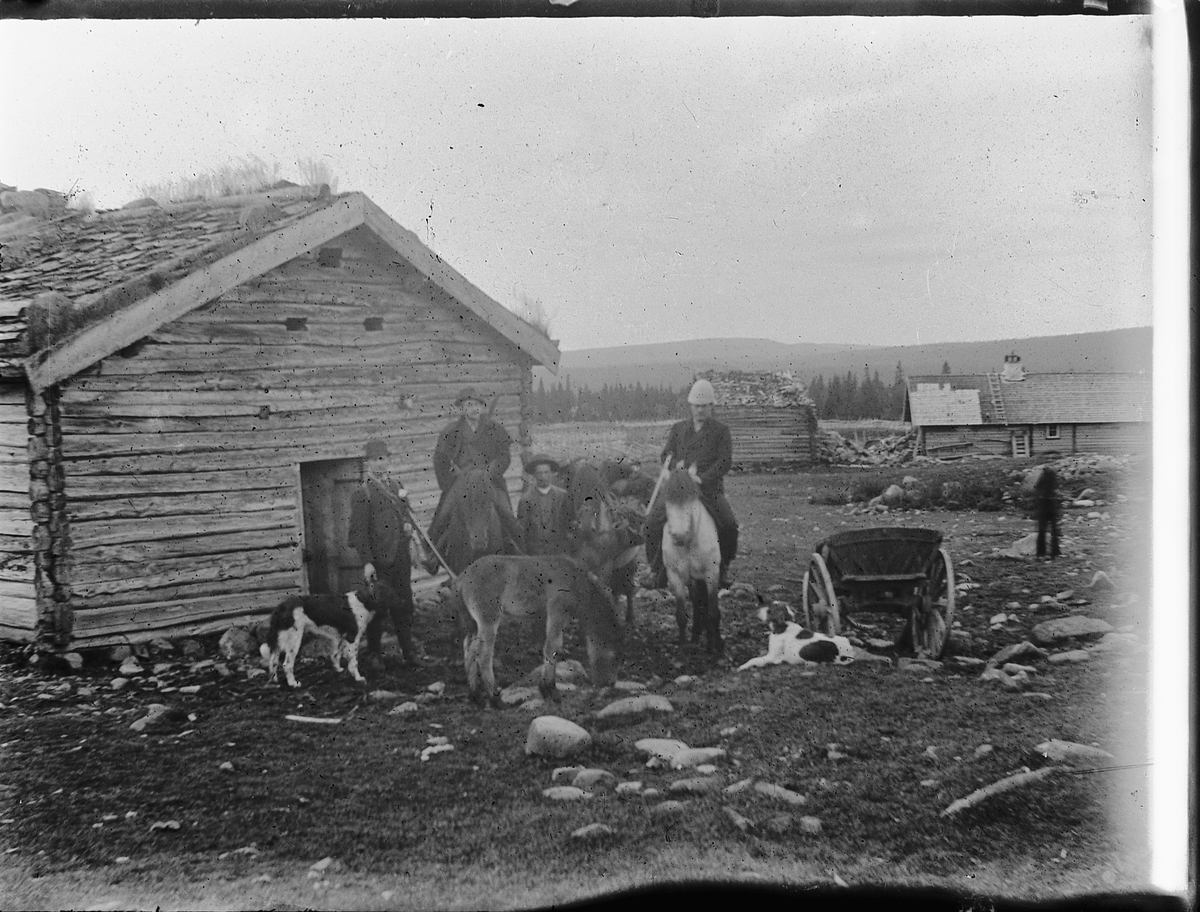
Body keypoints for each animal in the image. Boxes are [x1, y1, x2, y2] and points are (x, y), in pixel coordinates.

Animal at [446, 552, 624, 710]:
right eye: (615, 656)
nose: (610, 683)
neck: (576, 581)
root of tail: (462, 578)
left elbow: (554, 646)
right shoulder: (557, 611)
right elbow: (552, 647)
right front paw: (549, 690)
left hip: (472, 624)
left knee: (469, 652)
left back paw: (476, 697)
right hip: (488, 621)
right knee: (483, 655)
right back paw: (495, 700)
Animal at [657, 465, 720, 652]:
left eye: (692, 498)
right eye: (667, 499)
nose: (679, 536)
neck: (689, 542)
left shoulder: (712, 573)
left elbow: (713, 612)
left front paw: (714, 648)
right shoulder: (675, 576)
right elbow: (681, 615)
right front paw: (683, 645)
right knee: (697, 602)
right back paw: (695, 636)